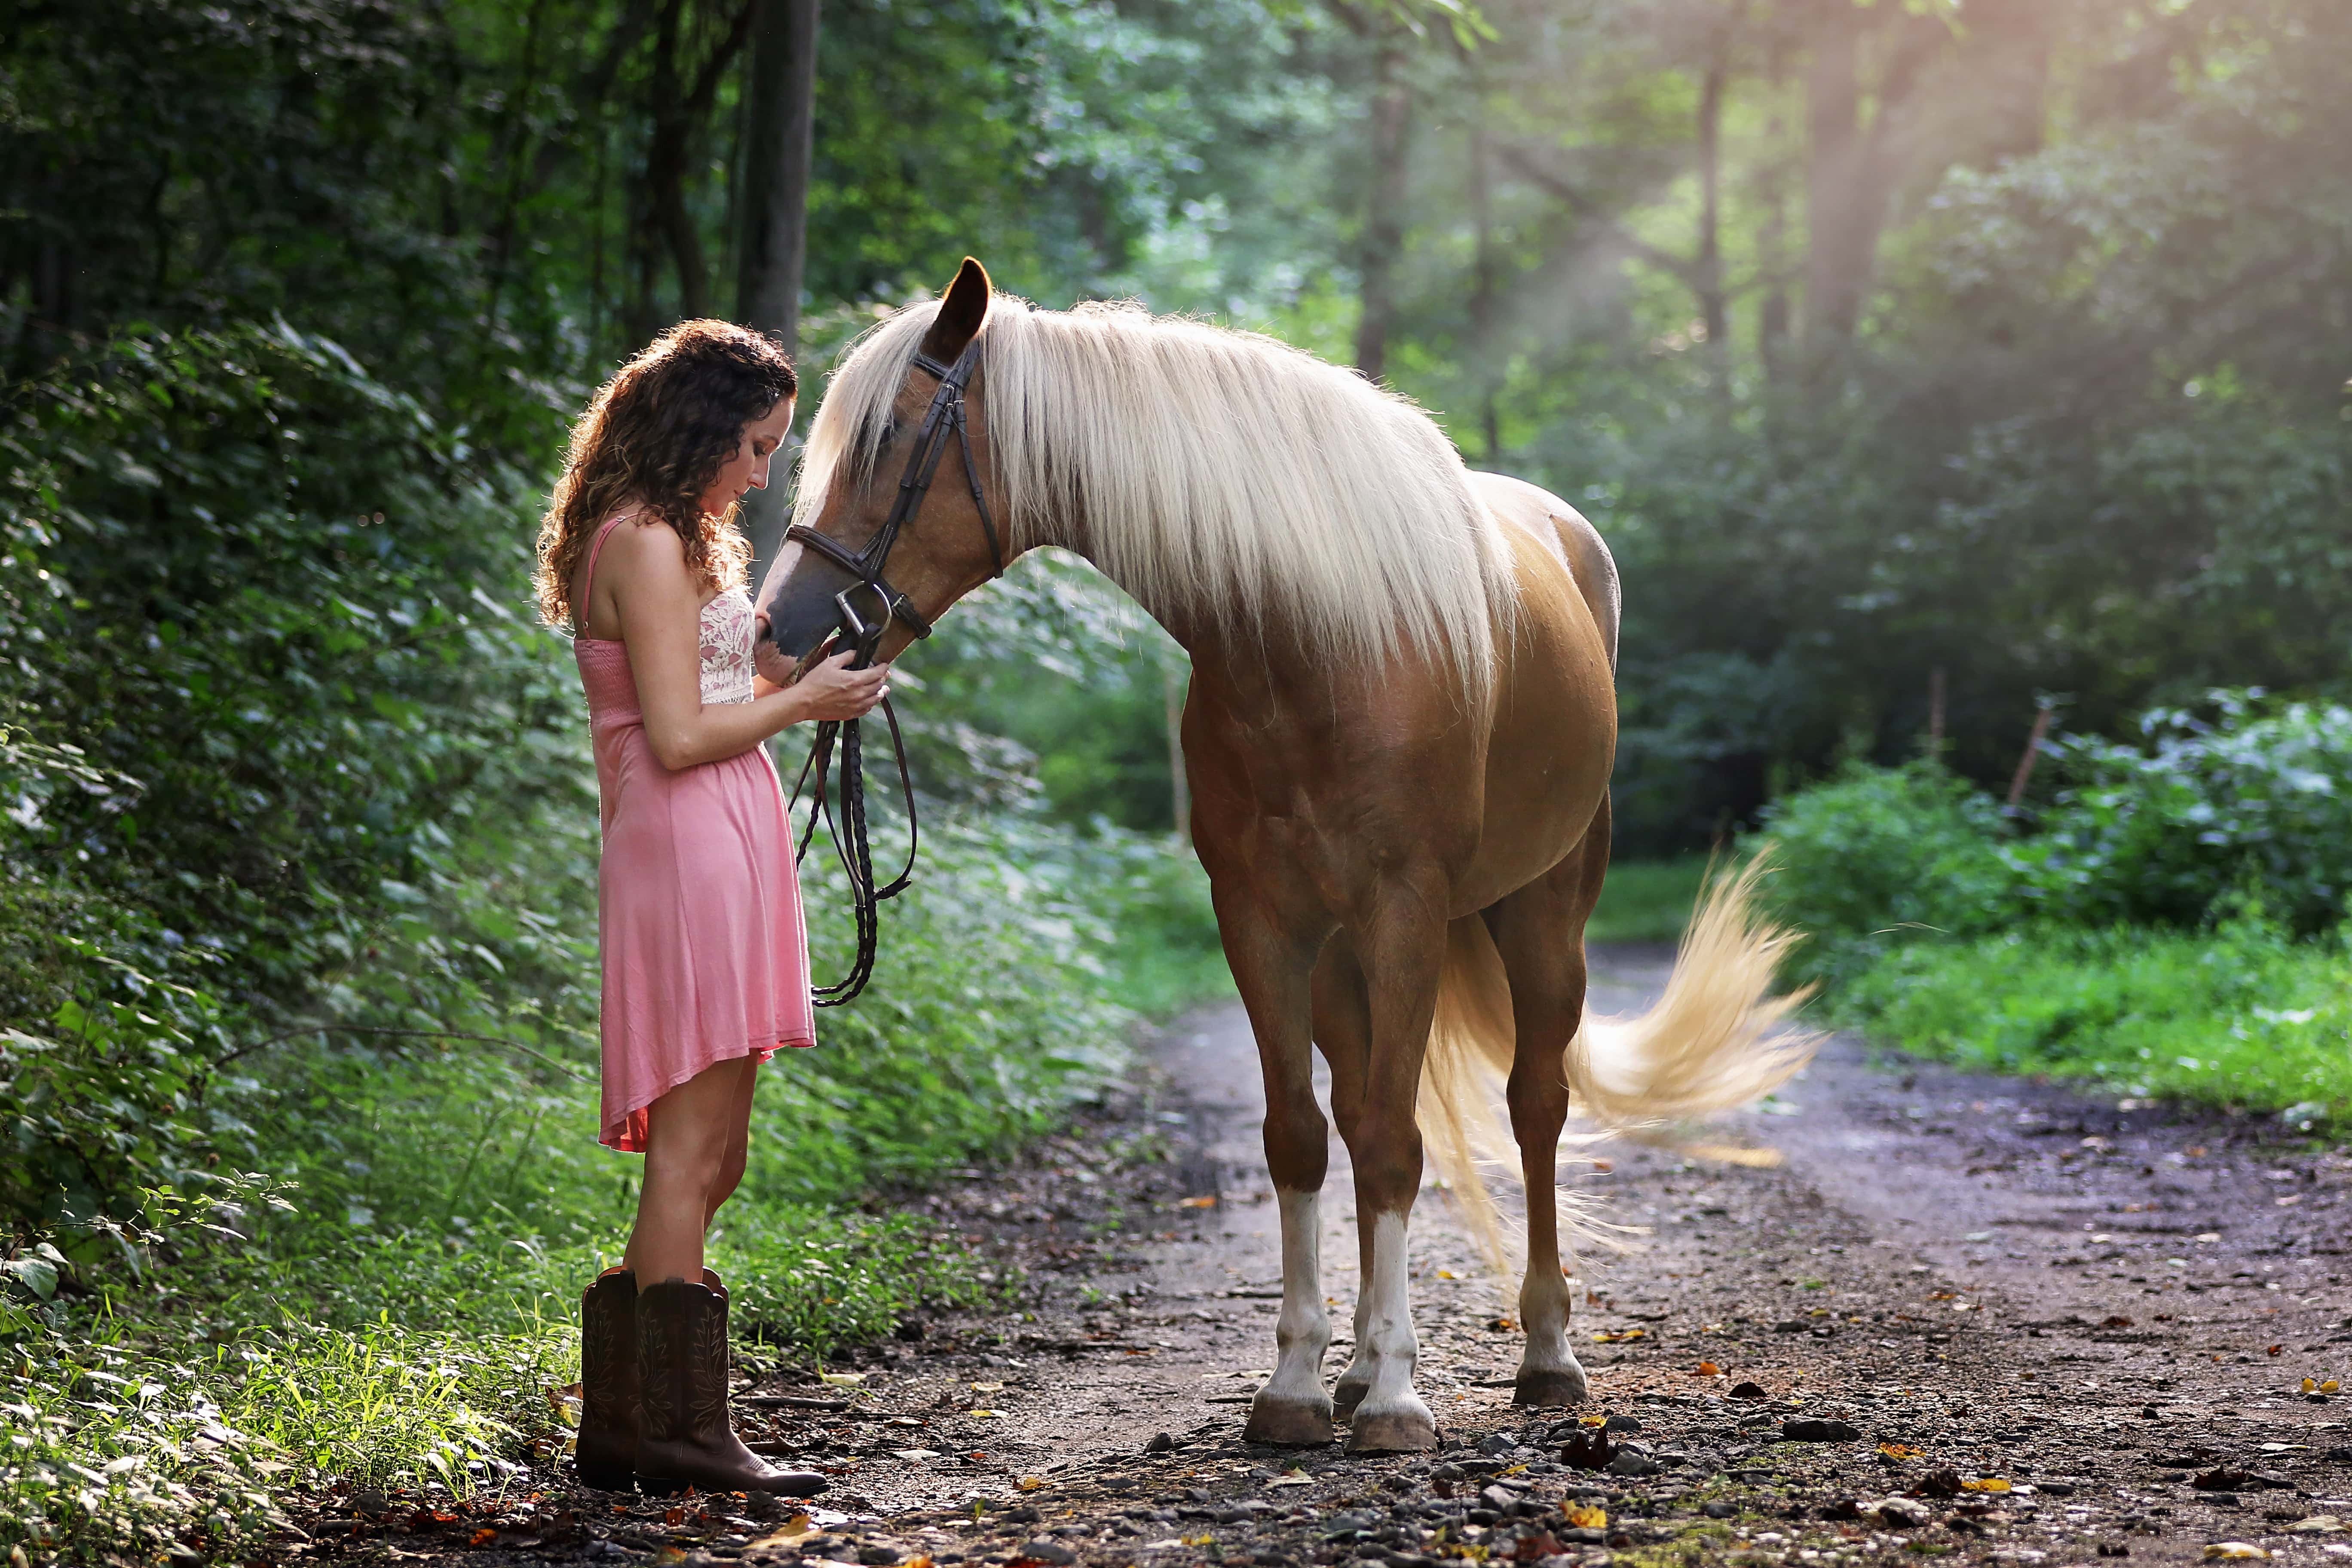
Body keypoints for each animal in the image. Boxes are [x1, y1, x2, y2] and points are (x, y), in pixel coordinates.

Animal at [756, 258, 1814, 1453]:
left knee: (1533, 1106)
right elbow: (1302, 1139)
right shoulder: (1260, 920)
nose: (778, 632)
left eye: (889, 438)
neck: (1313, 644)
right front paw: (1303, 1385)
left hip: (1543, 918)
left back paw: (1545, 1355)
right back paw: (1355, 1367)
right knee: (1356, 1110)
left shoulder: (1405, 911)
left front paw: (1399, 1399)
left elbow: (1399, 1143)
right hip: (1345, 958)